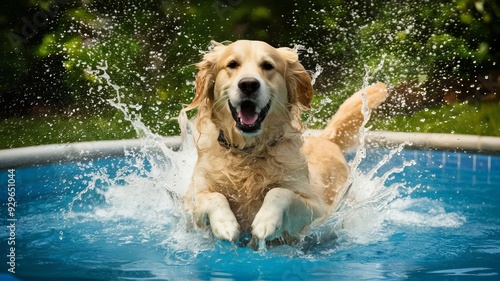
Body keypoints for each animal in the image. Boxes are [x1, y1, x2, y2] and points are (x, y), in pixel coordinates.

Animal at [182, 39, 388, 245]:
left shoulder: (320, 210)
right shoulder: (189, 201)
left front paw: (266, 221)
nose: (248, 84)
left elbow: (280, 192)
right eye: (232, 64)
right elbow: (212, 197)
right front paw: (225, 224)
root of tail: (325, 138)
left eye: (268, 65)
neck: (249, 152)